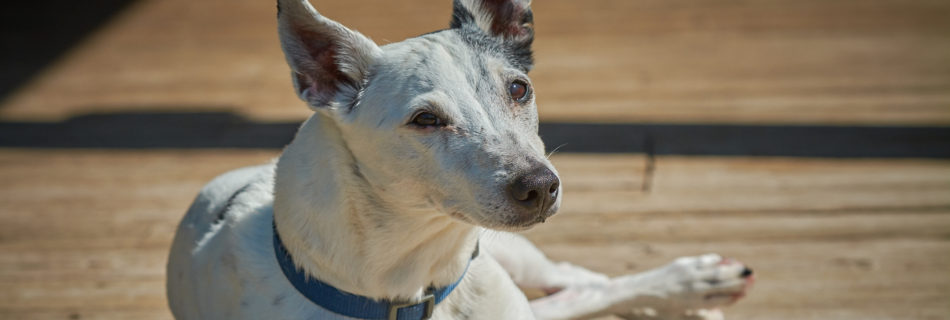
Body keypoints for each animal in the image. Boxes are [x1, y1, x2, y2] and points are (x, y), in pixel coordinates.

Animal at [167, 0, 756, 318]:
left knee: (574, 279)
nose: (540, 186)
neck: (412, 273)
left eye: (519, 89)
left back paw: (695, 284)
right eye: (425, 120)